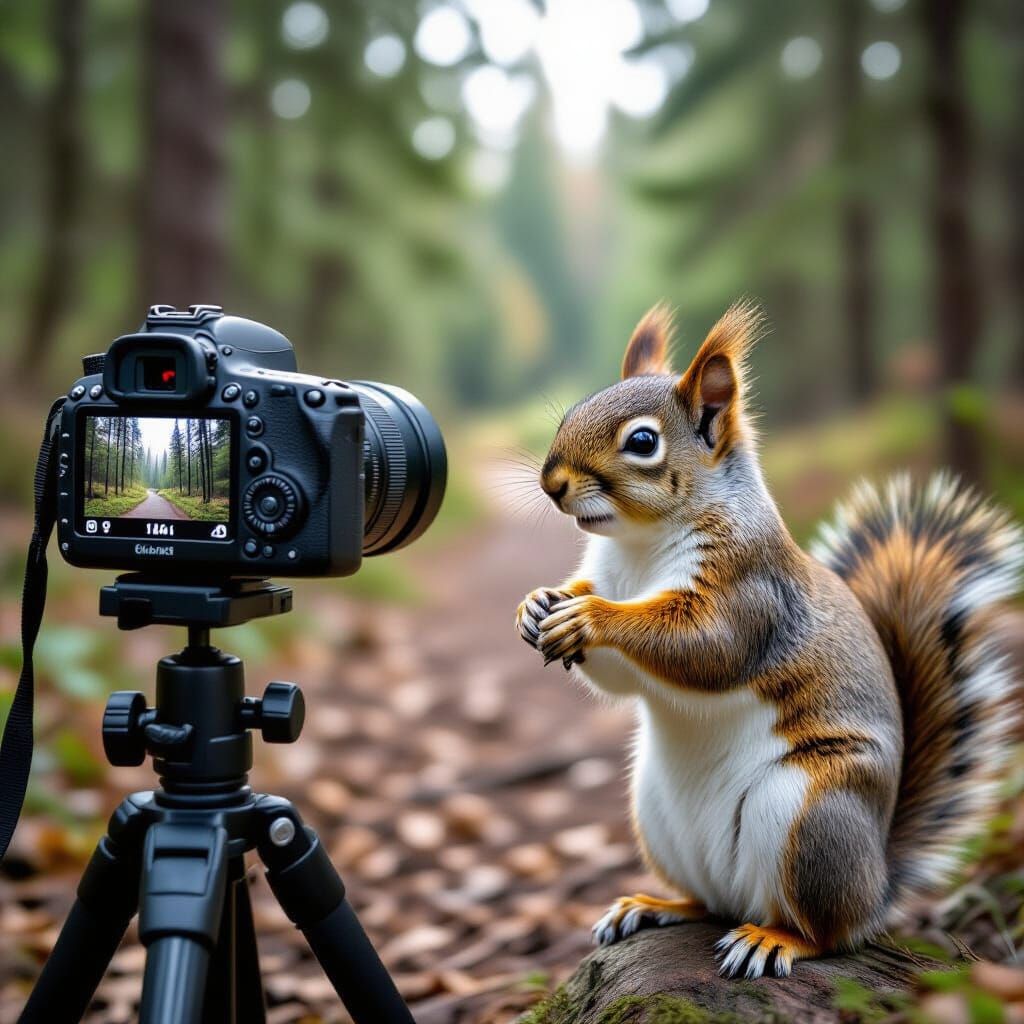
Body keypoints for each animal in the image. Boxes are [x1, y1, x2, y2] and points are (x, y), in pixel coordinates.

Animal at [515, 301, 1023, 979]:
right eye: (571, 412)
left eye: (642, 441)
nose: (552, 483)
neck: (640, 546)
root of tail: (877, 884)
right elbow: (618, 671)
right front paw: (535, 605)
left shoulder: (751, 592)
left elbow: (706, 646)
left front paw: (591, 616)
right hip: (657, 814)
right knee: (707, 902)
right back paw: (653, 905)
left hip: (811, 816)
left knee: (825, 932)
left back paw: (775, 939)